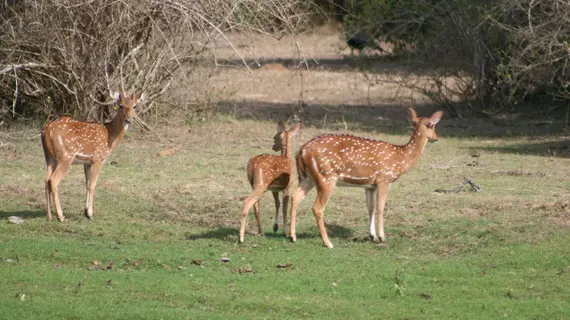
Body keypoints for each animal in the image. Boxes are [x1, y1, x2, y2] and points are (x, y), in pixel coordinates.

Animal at [41, 91, 143, 221]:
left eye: (134, 106)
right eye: (121, 105)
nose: (129, 120)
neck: (109, 137)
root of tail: (46, 131)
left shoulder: (87, 162)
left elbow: (87, 184)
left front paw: (85, 211)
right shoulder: (98, 158)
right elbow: (93, 185)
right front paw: (90, 213)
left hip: (49, 157)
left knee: (46, 180)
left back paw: (49, 216)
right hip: (65, 156)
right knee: (53, 180)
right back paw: (60, 216)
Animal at [286, 107, 442, 248]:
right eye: (433, 125)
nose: (436, 138)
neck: (402, 158)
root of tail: (302, 150)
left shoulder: (370, 185)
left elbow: (370, 207)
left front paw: (372, 236)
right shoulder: (385, 179)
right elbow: (380, 207)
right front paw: (382, 237)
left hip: (307, 177)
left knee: (295, 197)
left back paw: (292, 236)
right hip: (326, 176)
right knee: (317, 207)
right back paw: (327, 243)